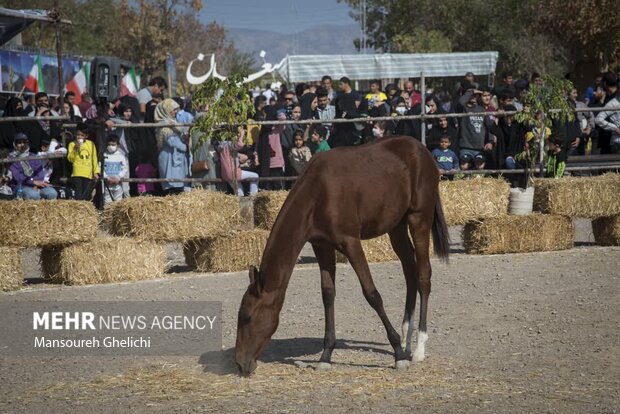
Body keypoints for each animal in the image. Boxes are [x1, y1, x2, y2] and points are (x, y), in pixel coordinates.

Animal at [235, 136, 448, 376]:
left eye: (247, 317)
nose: (240, 364)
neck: (318, 193)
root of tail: (422, 150)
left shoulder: (350, 242)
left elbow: (372, 294)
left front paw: (397, 354)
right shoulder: (322, 246)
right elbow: (328, 294)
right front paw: (326, 355)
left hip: (419, 219)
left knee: (423, 276)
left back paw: (418, 347)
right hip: (397, 227)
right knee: (410, 273)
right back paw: (406, 340)